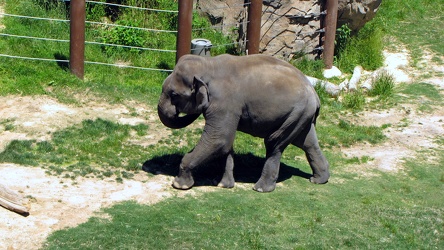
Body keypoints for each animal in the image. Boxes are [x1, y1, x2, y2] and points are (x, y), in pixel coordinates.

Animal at [157, 53, 330, 192]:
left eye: (174, 95)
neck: (208, 64)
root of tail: (315, 93)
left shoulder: (224, 102)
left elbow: (218, 140)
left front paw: (179, 185)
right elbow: (226, 144)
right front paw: (223, 185)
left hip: (296, 113)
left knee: (274, 143)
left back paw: (261, 188)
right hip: (302, 114)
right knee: (307, 142)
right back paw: (319, 179)